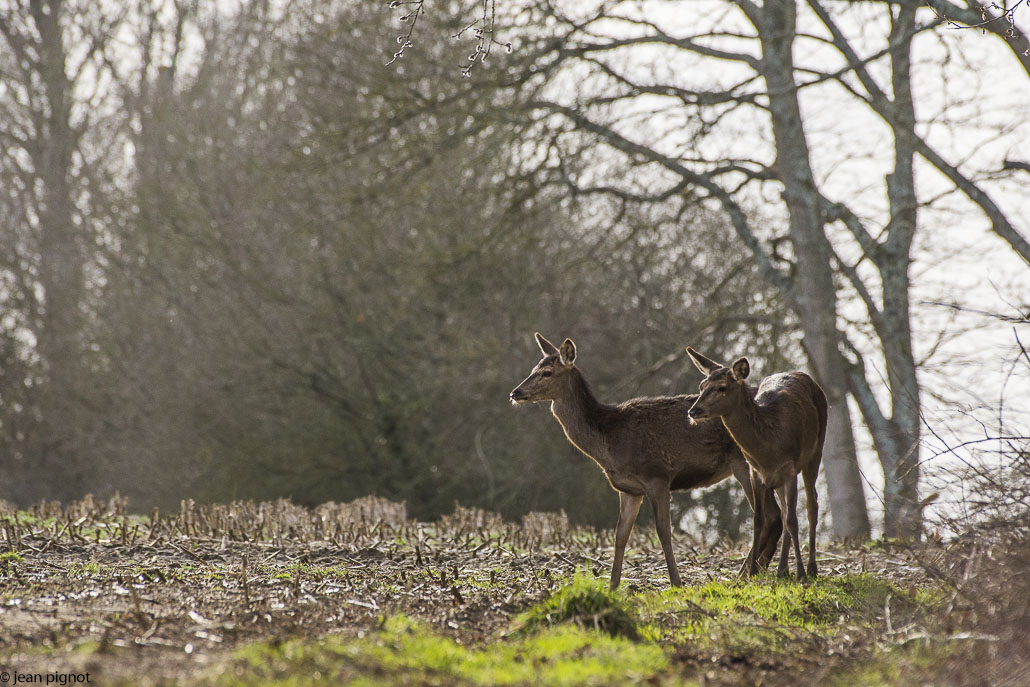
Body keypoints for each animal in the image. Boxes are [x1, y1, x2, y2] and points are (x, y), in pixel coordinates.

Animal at [683, 350, 828, 580]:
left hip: (815, 451)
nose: (693, 411)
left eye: (722, 387)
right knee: (785, 511)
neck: (768, 449)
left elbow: (793, 520)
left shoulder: (790, 468)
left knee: (811, 505)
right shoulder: (755, 472)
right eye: (701, 385)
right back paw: (782, 570)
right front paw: (751, 573)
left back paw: (811, 569)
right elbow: (759, 519)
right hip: (778, 480)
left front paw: (801, 575)